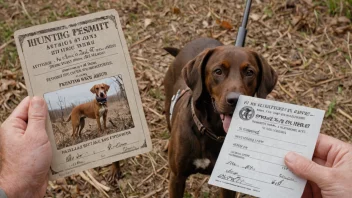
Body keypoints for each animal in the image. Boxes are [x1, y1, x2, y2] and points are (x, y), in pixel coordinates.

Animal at [163, 38, 278, 197]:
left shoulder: (226, 180)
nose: (235, 100)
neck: (212, 132)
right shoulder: (177, 178)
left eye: (250, 72)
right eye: (218, 71)